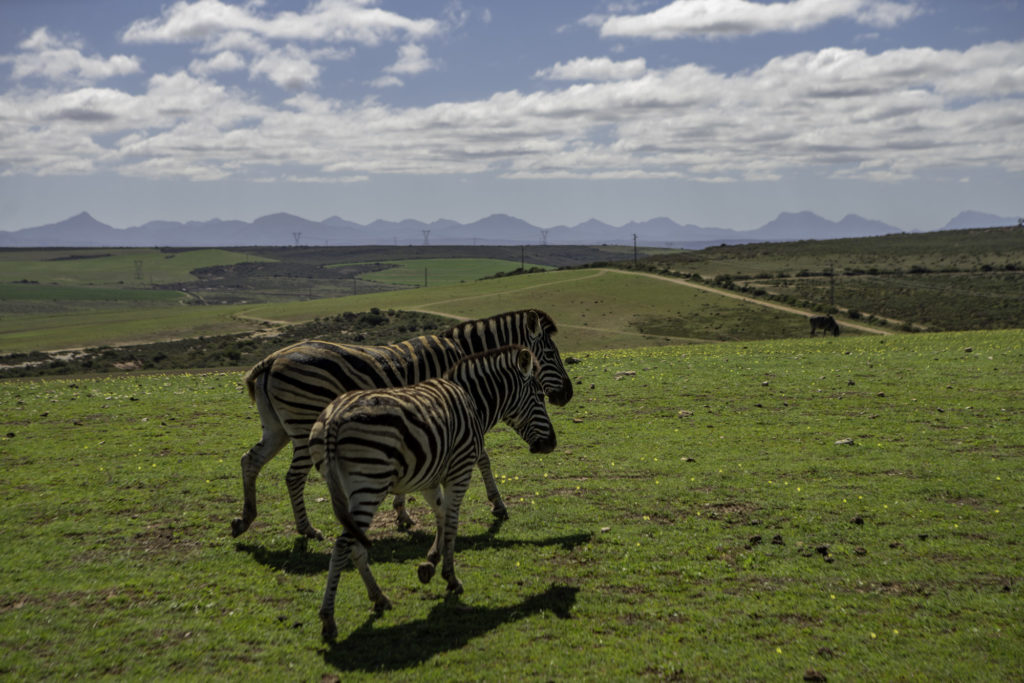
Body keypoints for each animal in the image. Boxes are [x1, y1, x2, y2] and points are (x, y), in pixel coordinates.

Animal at [228, 309, 573, 540]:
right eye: (550, 354)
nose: (567, 395)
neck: (463, 354)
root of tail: (272, 358)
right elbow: (483, 457)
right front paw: (497, 504)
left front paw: (402, 513)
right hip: (302, 424)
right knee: (293, 477)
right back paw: (306, 529)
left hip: (277, 428)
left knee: (250, 460)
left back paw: (245, 519)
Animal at [311, 348, 557, 643]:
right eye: (540, 396)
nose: (552, 443)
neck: (473, 401)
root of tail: (334, 418)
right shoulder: (460, 470)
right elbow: (451, 523)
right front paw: (450, 577)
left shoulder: (429, 478)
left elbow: (440, 514)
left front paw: (430, 561)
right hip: (370, 483)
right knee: (342, 545)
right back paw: (328, 618)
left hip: (347, 488)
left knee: (355, 544)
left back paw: (379, 597)